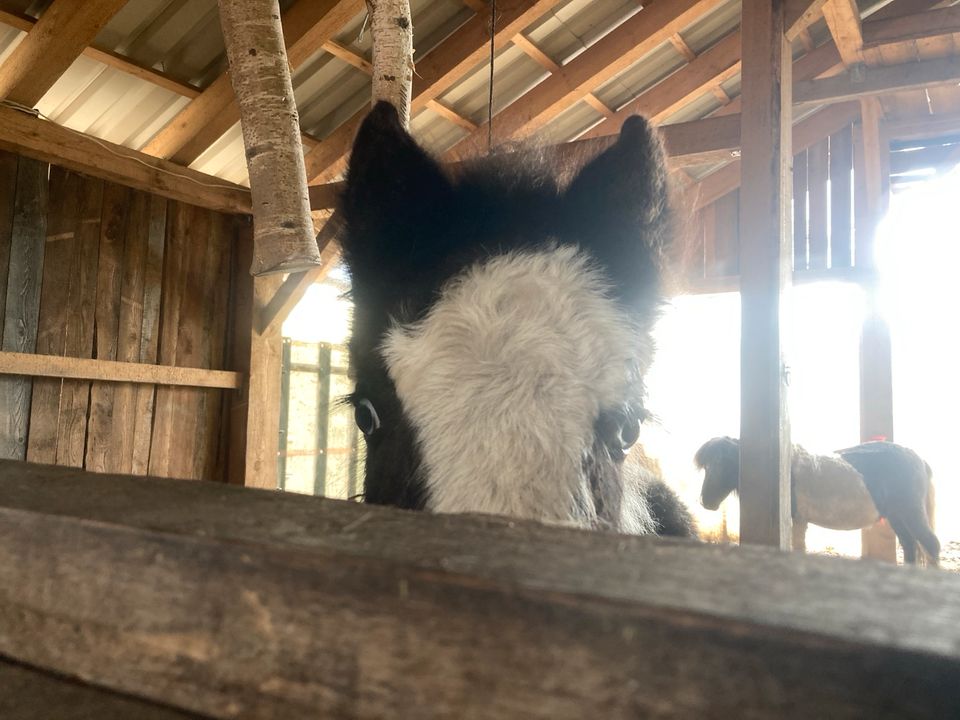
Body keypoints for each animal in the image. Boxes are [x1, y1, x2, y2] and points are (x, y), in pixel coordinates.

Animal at [692, 436, 940, 564]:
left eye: (726, 463)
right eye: (706, 466)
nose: (706, 502)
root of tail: (920, 460)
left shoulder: (795, 519)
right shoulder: (800, 520)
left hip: (910, 510)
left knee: (930, 545)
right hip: (897, 515)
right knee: (910, 545)